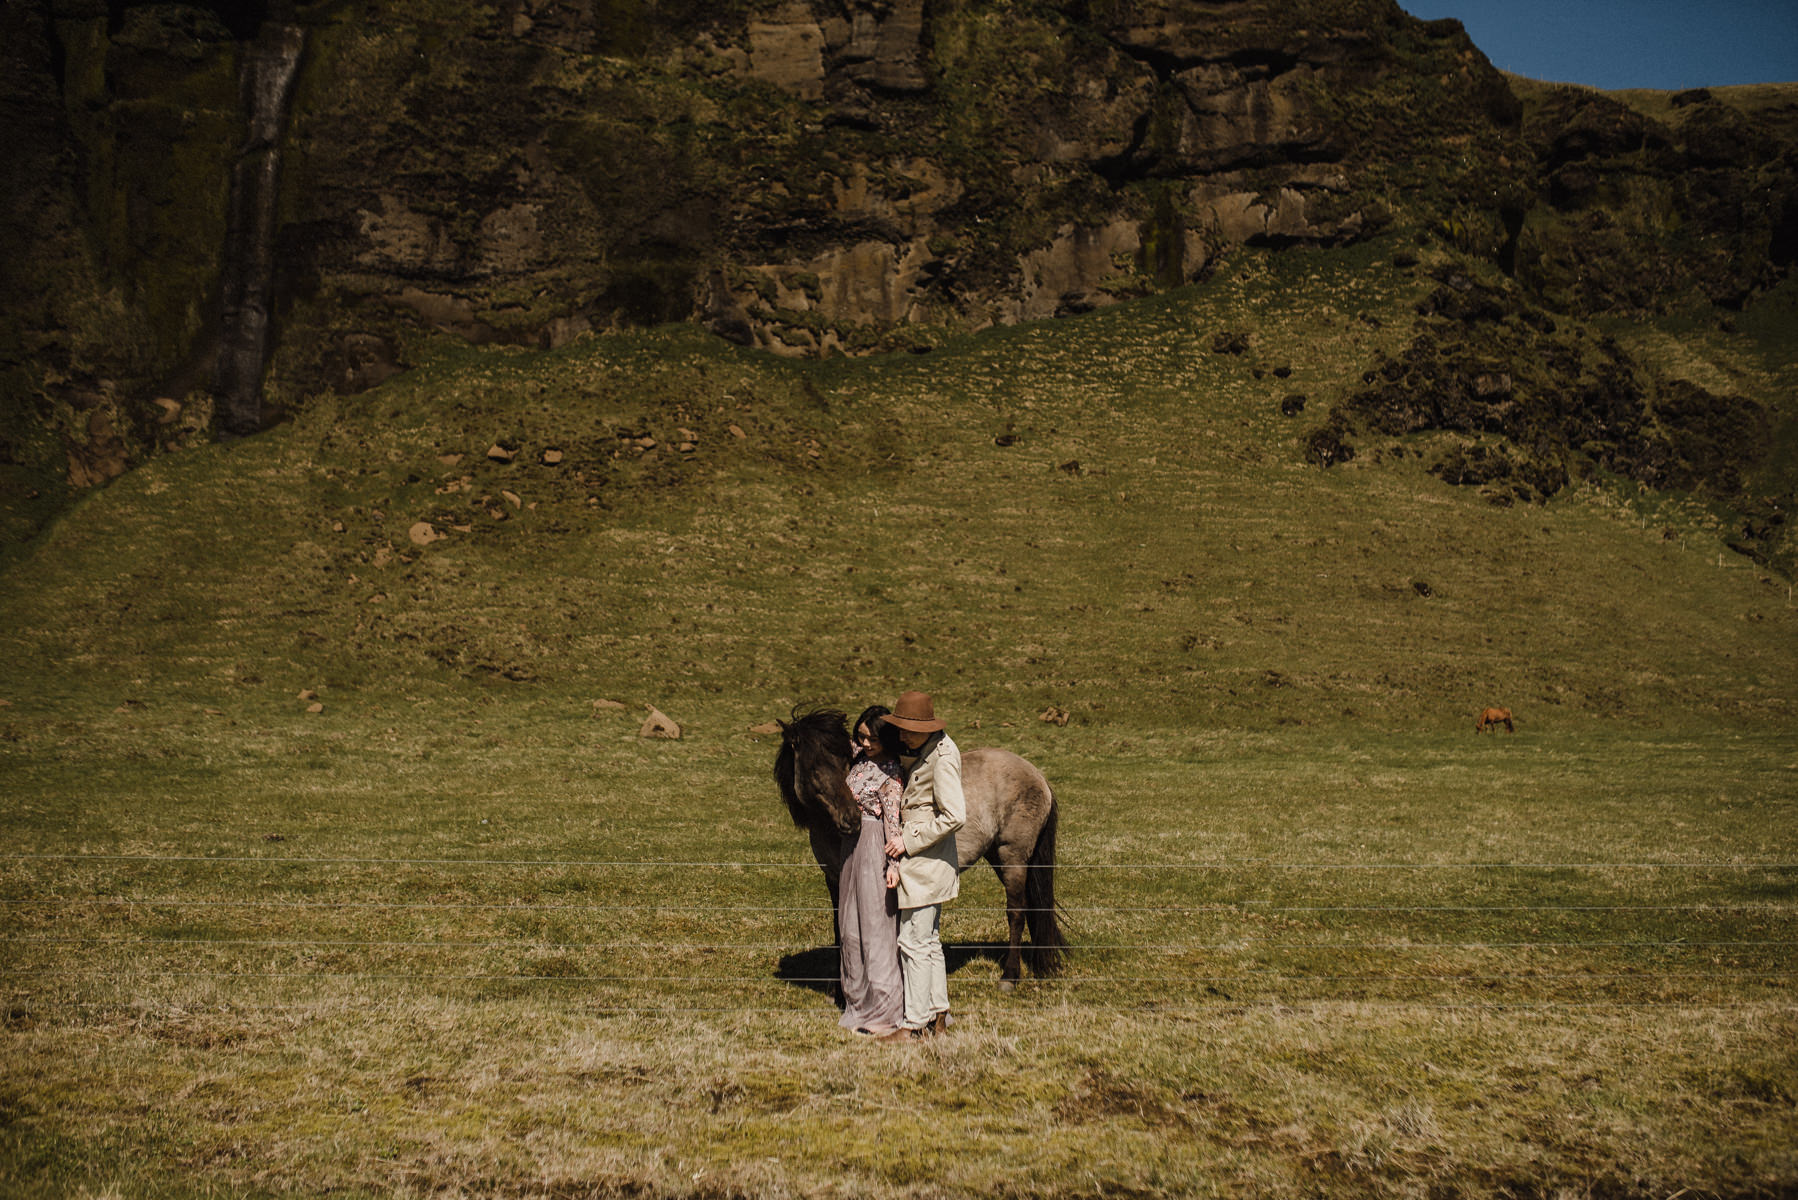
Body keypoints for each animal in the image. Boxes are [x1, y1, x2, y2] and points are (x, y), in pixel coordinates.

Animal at [765, 708, 1057, 993]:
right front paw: (841, 990)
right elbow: (840, 926)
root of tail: (1037, 775)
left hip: (1013, 857)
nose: (851, 819)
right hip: (999, 856)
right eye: (813, 767)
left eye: (844, 762)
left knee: (1016, 912)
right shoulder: (833, 878)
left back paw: (1009, 977)